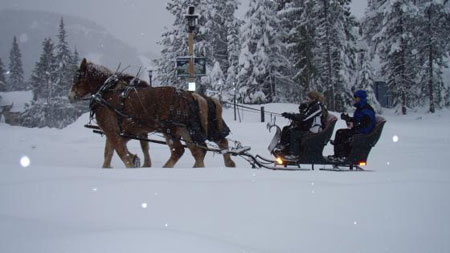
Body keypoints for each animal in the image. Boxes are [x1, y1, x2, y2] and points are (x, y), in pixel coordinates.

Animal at [67, 58, 236, 169]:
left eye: (77, 78)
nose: (70, 96)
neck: (107, 92)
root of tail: (188, 95)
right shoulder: (123, 130)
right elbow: (110, 151)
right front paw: (113, 166)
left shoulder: (113, 130)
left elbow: (120, 150)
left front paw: (132, 162)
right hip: (184, 130)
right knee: (199, 150)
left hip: (170, 129)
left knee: (181, 150)